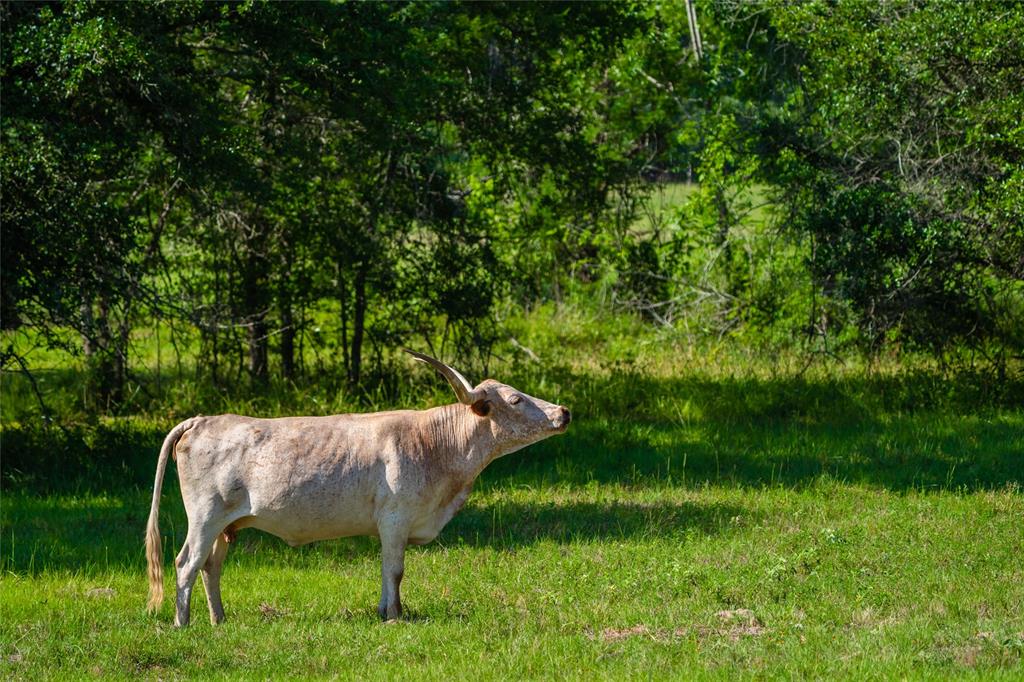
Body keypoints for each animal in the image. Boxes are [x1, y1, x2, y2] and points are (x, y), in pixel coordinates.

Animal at [146, 350, 569, 622]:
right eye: (515, 399)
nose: (563, 411)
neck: (437, 446)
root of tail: (202, 419)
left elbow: (387, 570)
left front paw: (386, 611)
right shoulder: (395, 519)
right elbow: (395, 569)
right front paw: (395, 617)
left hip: (225, 525)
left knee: (210, 566)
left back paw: (219, 620)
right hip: (204, 516)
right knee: (186, 563)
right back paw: (183, 624)